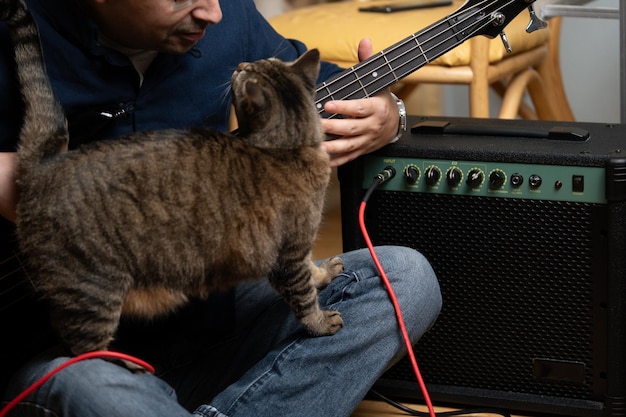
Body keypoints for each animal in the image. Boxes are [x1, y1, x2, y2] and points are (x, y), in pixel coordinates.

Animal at [0, 0, 344, 356]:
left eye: (255, 64)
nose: (240, 63)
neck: (290, 147)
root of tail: (44, 165)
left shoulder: (298, 248)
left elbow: (310, 271)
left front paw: (324, 273)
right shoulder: (286, 256)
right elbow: (304, 297)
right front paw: (320, 323)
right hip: (93, 290)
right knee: (83, 348)